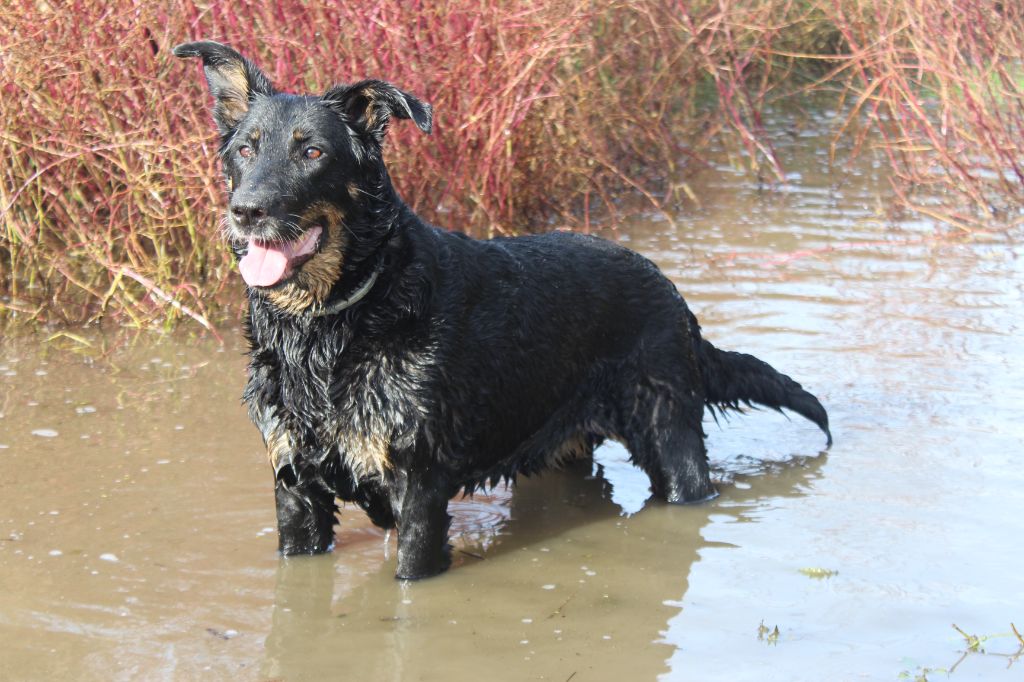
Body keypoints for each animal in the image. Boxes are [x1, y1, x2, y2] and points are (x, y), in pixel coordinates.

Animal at [178, 39, 831, 577]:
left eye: (312, 152)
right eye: (245, 151)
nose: (247, 210)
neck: (328, 325)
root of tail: (674, 296)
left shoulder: (419, 488)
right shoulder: (295, 488)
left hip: (671, 440)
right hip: (565, 445)